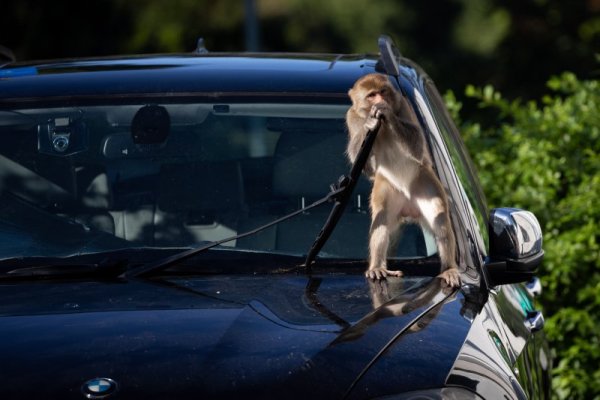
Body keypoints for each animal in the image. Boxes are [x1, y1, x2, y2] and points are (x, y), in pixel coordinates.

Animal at [346, 73, 460, 286]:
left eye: (383, 91)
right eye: (371, 95)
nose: (380, 101)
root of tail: (409, 207)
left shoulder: (403, 105)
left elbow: (417, 146)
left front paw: (387, 113)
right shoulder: (352, 117)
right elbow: (367, 167)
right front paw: (369, 123)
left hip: (425, 182)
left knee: (439, 216)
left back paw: (449, 268)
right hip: (386, 189)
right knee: (381, 219)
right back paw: (378, 267)